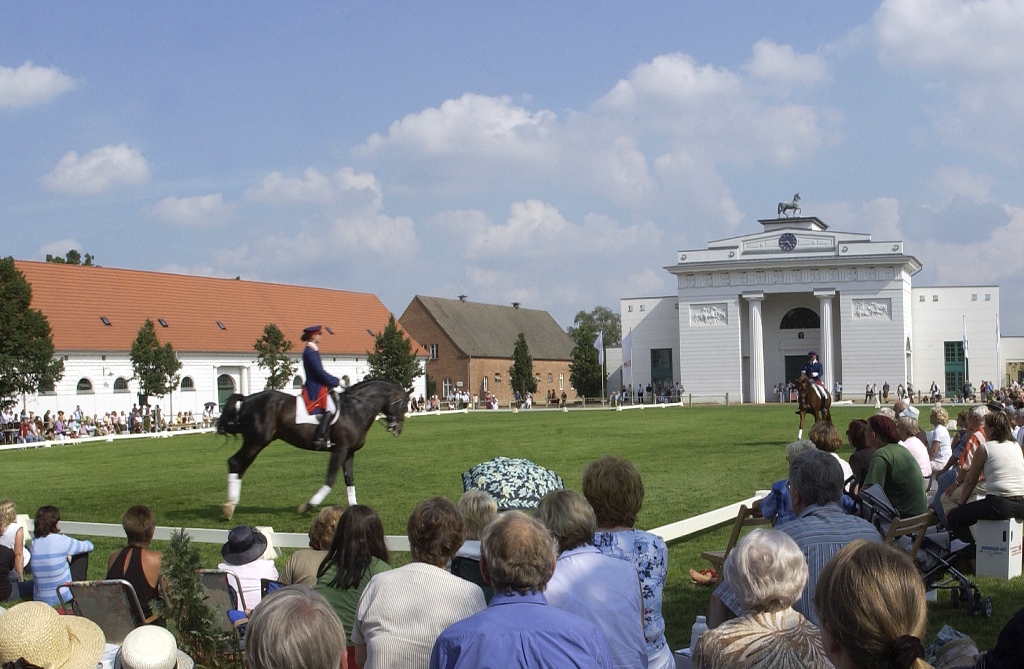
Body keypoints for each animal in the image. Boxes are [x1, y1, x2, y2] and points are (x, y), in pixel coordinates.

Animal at [216, 379, 407, 518]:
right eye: (404, 405)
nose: (397, 430)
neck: (355, 409)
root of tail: (249, 399)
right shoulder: (339, 450)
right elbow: (330, 480)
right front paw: (308, 506)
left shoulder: (349, 453)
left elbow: (350, 480)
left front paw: (355, 510)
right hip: (256, 441)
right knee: (235, 462)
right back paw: (229, 507)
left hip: (256, 442)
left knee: (241, 466)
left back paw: (231, 504)